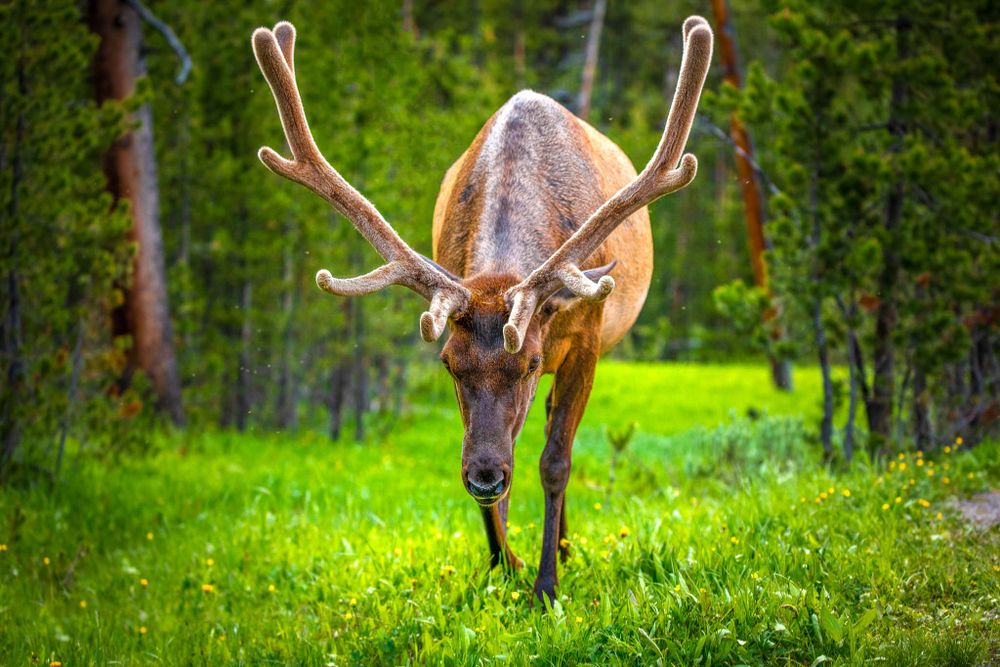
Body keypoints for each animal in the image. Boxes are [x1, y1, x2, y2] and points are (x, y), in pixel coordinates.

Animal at [252, 16, 712, 604]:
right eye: (449, 364)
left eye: (529, 362)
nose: (483, 477)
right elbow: (501, 457)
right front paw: (503, 563)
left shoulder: (584, 343)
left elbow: (555, 462)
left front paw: (545, 586)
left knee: (550, 441)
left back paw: (562, 548)